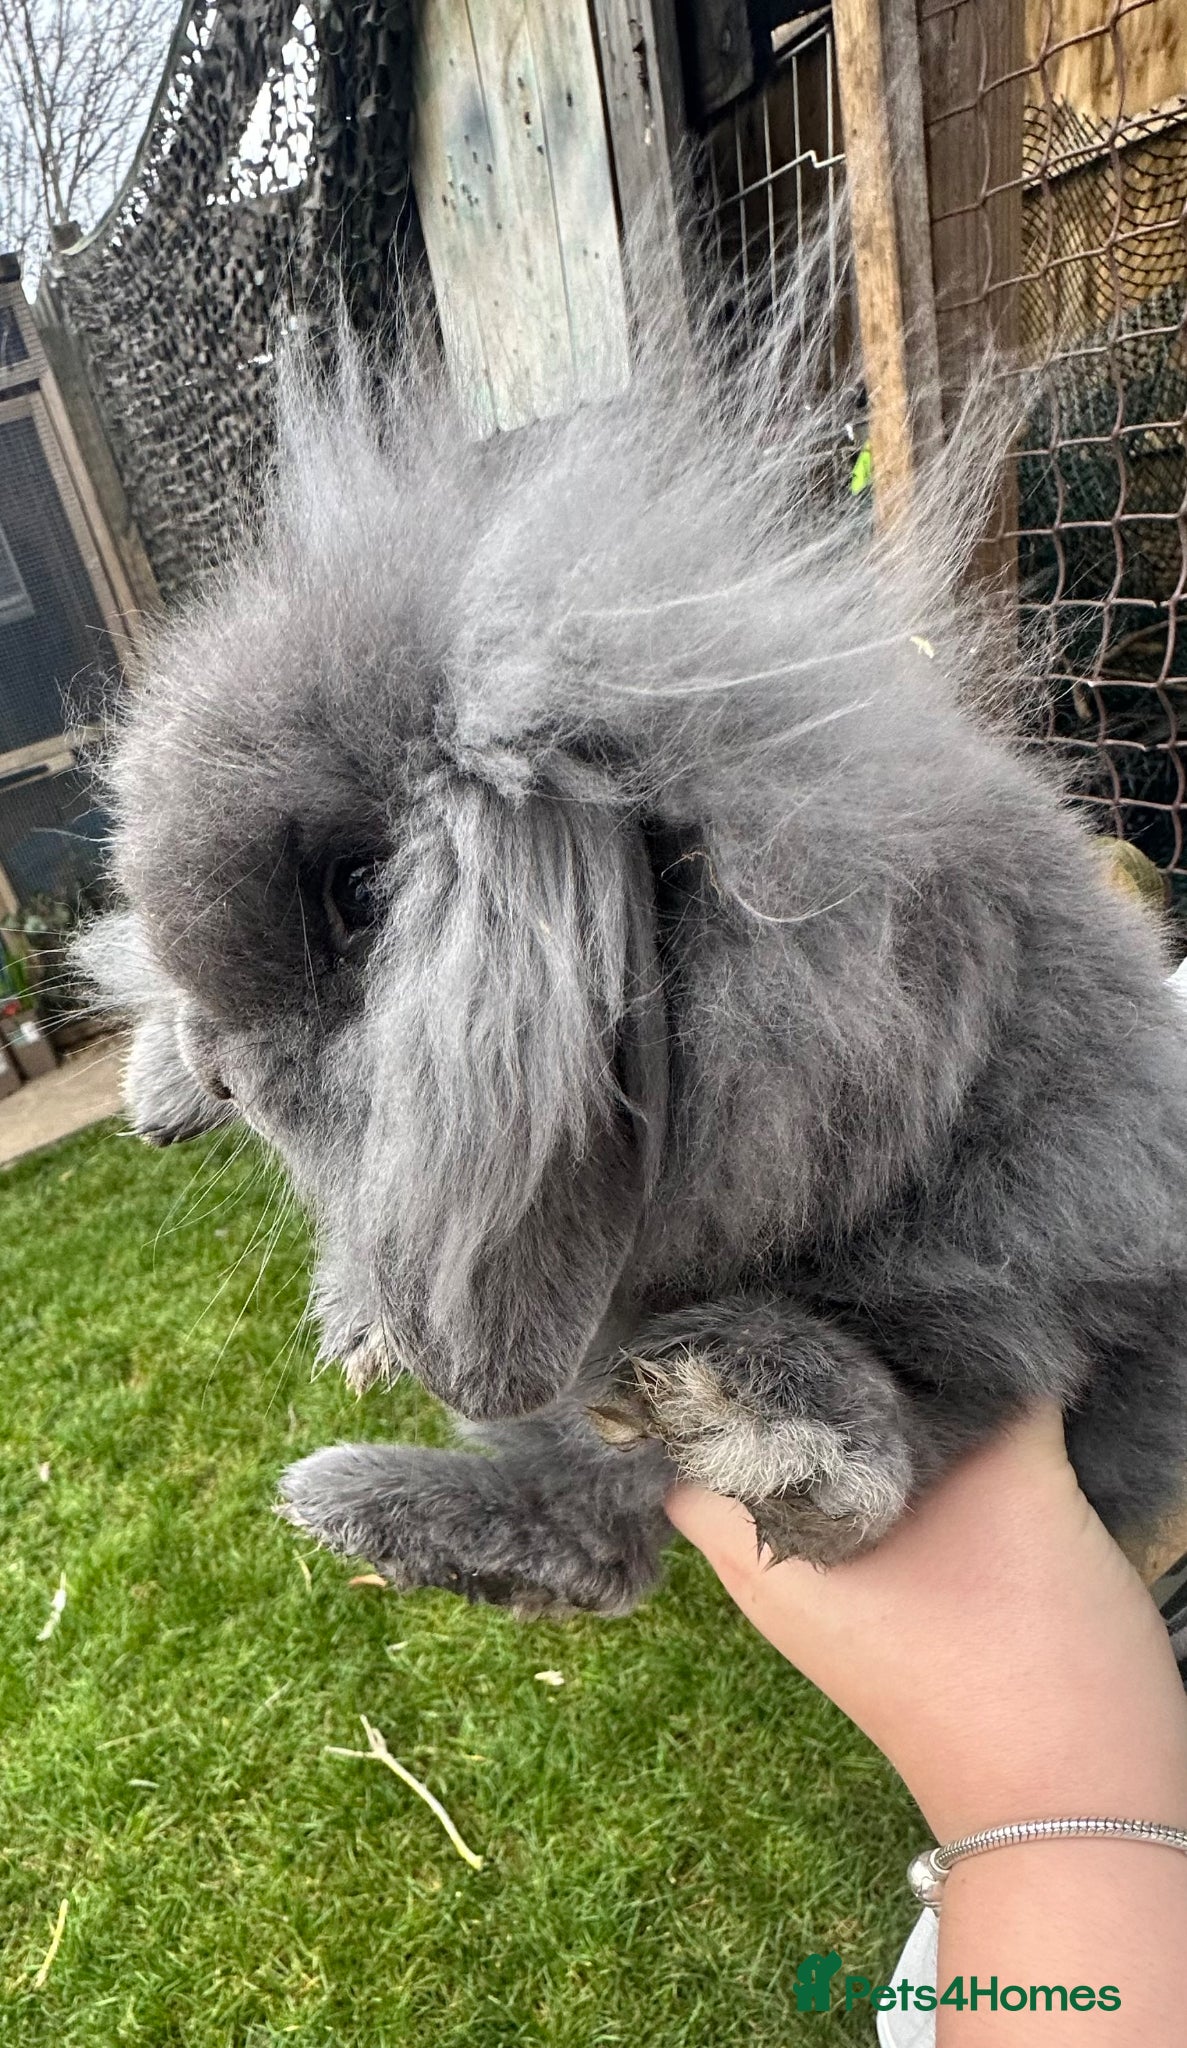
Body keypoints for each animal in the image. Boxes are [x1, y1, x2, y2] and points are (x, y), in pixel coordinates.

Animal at [77, 272, 1187, 1620]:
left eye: (361, 891)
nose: (221, 1066)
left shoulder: (1036, 1292)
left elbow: (910, 1424)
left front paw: (760, 1417)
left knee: (602, 1540)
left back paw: (371, 1503)